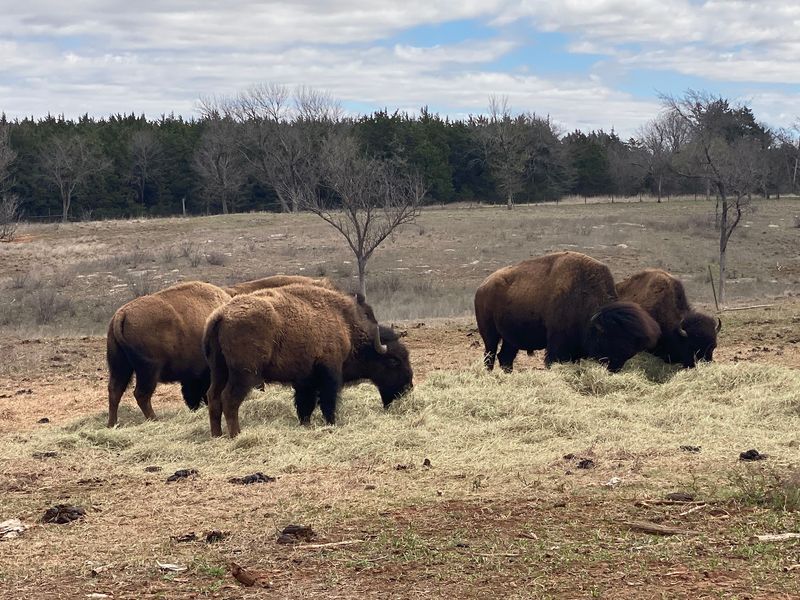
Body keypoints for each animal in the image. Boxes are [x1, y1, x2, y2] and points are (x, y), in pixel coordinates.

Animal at [202, 284, 413, 437]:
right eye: (393, 361)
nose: (408, 386)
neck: (345, 325)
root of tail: (221, 315)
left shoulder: (304, 379)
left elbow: (305, 404)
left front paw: (306, 424)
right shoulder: (329, 372)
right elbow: (327, 401)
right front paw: (332, 423)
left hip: (219, 370)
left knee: (213, 396)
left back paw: (217, 435)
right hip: (244, 374)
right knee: (229, 399)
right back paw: (236, 434)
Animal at [474, 251, 660, 373]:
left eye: (629, 353)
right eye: (610, 342)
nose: (612, 369)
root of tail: (483, 286)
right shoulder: (558, 345)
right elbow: (553, 360)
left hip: (511, 338)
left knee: (505, 357)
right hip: (490, 334)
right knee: (490, 355)